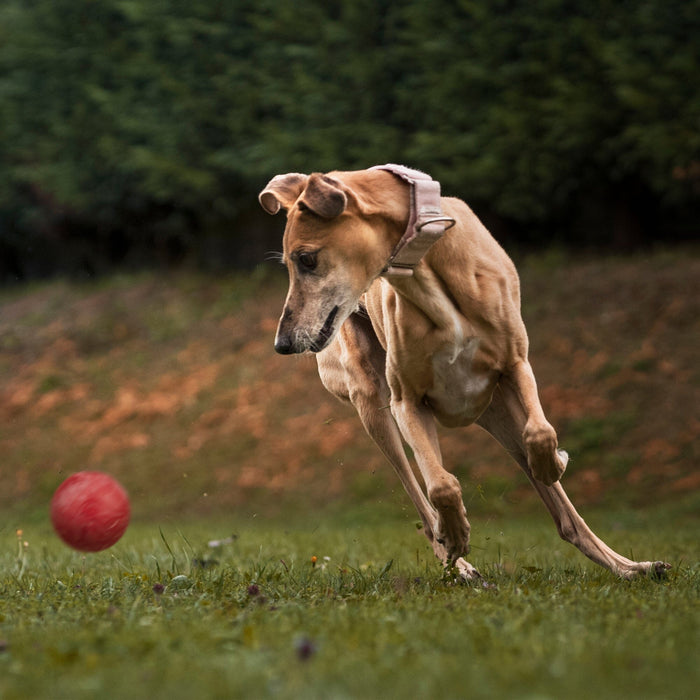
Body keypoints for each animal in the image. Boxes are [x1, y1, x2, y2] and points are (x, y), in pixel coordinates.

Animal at [258, 164, 668, 580]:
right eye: (291, 263)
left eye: (307, 259)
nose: (283, 344)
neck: (428, 270)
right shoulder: (408, 402)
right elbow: (442, 487)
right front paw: (455, 536)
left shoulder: (516, 366)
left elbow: (540, 433)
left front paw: (556, 462)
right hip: (373, 403)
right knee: (423, 496)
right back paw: (458, 560)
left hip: (499, 409)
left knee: (564, 515)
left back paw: (631, 567)